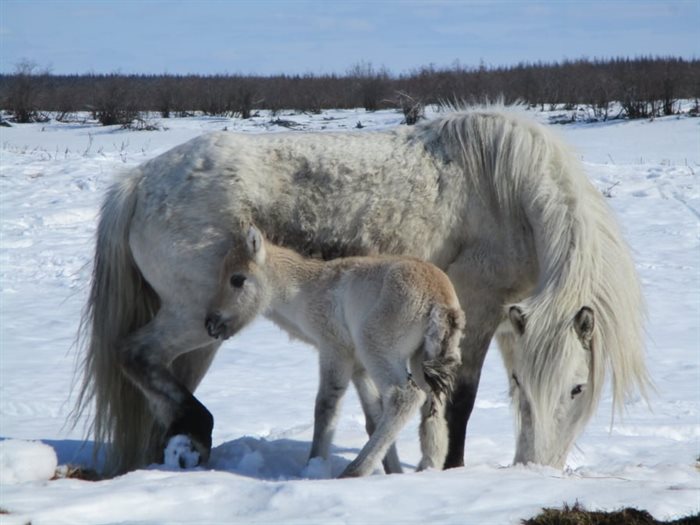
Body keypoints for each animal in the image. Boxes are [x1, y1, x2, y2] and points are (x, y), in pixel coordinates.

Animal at [202, 223, 464, 476]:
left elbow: (326, 406)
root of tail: (440, 301)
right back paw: (426, 468)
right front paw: (394, 470)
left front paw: (313, 465)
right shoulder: (358, 367)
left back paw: (354, 470)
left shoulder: (335, 349)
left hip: (377, 348)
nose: (211, 323)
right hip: (419, 360)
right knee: (432, 404)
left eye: (237, 279)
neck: (306, 289)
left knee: (406, 397)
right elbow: (373, 417)